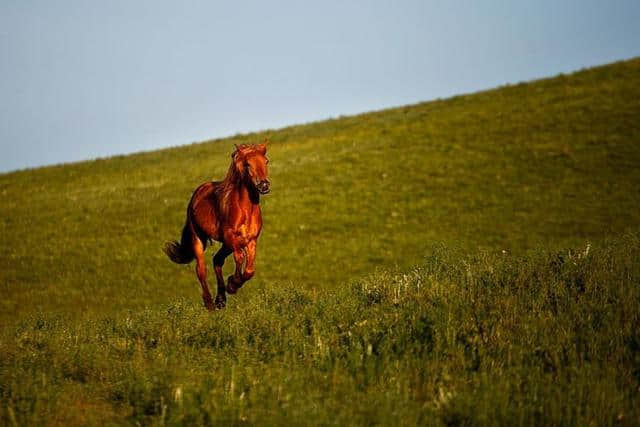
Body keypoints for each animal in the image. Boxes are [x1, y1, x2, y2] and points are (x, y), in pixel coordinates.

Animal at [162, 144, 270, 310]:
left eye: (266, 161)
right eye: (247, 164)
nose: (263, 185)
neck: (246, 209)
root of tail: (197, 193)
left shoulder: (251, 241)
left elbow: (249, 270)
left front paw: (232, 284)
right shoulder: (231, 238)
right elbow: (239, 258)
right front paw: (233, 284)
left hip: (226, 245)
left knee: (217, 260)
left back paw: (220, 300)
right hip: (198, 239)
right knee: (201, 269)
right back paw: (210, 304)